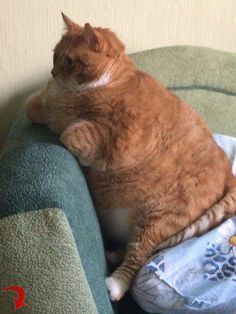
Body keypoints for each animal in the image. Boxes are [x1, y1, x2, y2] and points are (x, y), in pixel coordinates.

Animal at [26, 14, 236, 302]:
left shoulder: (119, 140)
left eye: (69, 61)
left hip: (159, 217)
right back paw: (113, 254)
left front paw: (82, 153)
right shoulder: (44, 104)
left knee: (139, 254)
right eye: (55, 55)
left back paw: (116, 284)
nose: (53, 74)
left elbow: (71, 133)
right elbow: (32, 106)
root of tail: (229, 172)